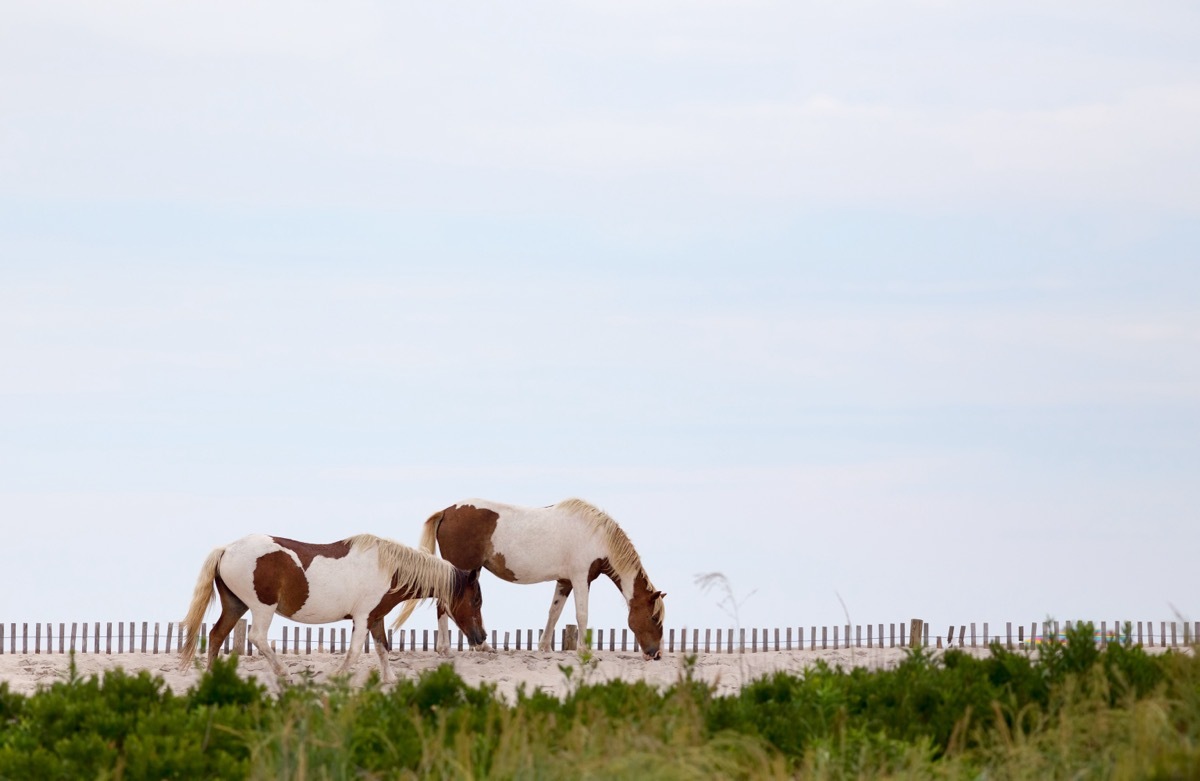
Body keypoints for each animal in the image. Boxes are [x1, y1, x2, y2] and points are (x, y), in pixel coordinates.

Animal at [179, 533, 487, 682]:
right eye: (476, 600)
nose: (481, 637)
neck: (389, 568)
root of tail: (226, 549)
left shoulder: (375, 618)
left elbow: (383, 649)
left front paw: (390, 680)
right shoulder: (362, 619)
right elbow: (354, 652)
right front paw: (338, 676)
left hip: (235, 606)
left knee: (217, 635)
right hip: (260, 608)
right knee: (256, 638)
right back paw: (284, 673)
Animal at [393, 498, 666, 660]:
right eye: (654, 618)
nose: (655, 654)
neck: (596, 537)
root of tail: (447, 511)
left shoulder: (565, 581)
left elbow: (554, 612)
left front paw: (545, 647)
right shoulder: (580, 579)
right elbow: (581, 614)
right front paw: (584, 651)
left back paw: (481, 647)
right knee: (444, 605)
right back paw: (446, 648)